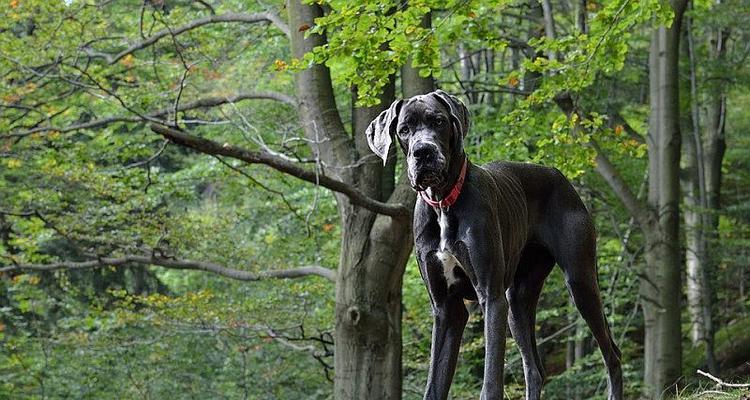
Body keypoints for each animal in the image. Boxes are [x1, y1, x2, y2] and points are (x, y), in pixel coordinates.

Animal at [368, 90, 624, 400]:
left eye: (438, 121)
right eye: (404, 130)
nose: (423, 152)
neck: (443, 202)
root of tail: (559, 176)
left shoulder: (490, 297)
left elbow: (491, 381)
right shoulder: (446, 308)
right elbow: (434, 385)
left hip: (580, 281)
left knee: (612, 354)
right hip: (517, 302)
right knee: (534, 369)